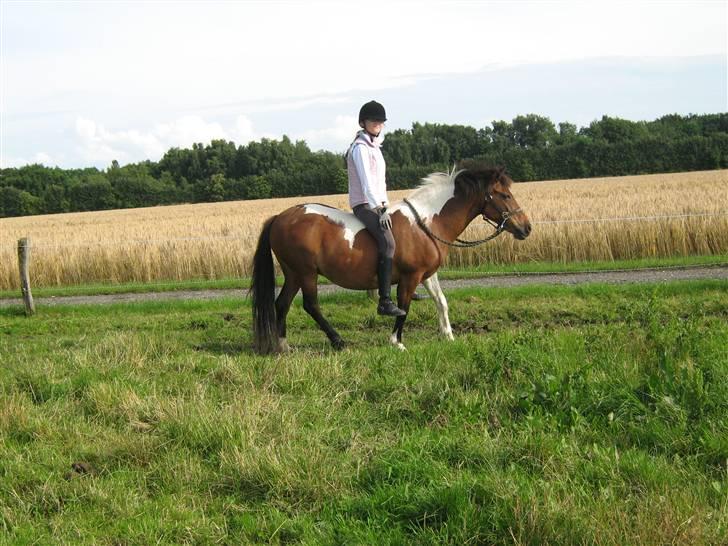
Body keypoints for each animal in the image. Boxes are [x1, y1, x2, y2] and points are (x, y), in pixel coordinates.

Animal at [250, 158, 528, 352]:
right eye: (505, 195)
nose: (526, 228)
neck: (425, 222)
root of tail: (280, 217)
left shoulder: (428, 274)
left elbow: (441, 301)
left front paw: (448, 335)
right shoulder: (410, 277)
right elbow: (403, 307)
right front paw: (397, 341)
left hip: (293, 273)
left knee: (282, 303)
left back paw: (284, 345)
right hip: (306, 273)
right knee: (311, 305)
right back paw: (338, 341)